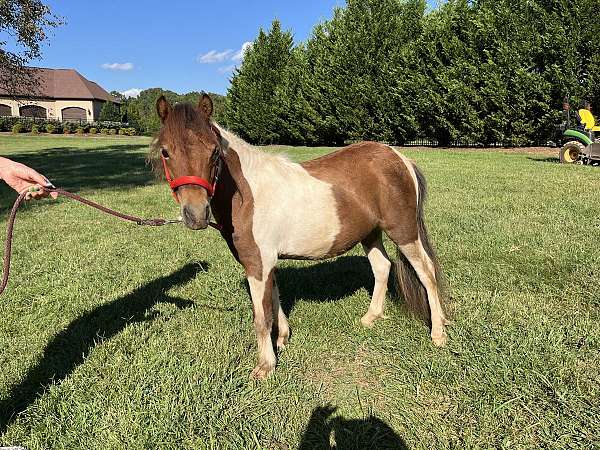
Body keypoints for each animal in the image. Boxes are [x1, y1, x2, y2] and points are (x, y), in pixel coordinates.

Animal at [152, 95, 448, 380]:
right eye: (166, 152)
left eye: (214, 151)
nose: (196, 214)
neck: (248, 194)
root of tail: (401, 158)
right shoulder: (267, 263)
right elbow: (274, 298)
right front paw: (282, 338)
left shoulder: (257, 263)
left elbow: (261, 317)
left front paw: (265, 366)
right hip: (371, 233)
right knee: (383, 268)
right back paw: (370, 318)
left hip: (403, 232)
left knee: (426, 272)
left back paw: (438, 333)